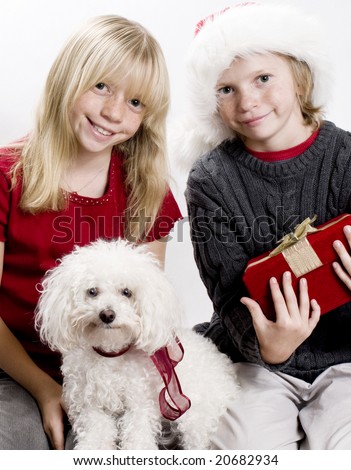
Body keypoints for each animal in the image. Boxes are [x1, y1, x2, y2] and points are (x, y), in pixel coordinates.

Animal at [35, 241, 239, 450]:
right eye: (92, 291)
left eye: (126, 292)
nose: (107, 314)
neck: (111, 354)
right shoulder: (91, 405)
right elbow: (96, 434)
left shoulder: (141, 404)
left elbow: (137, 435)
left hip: (196, 418)